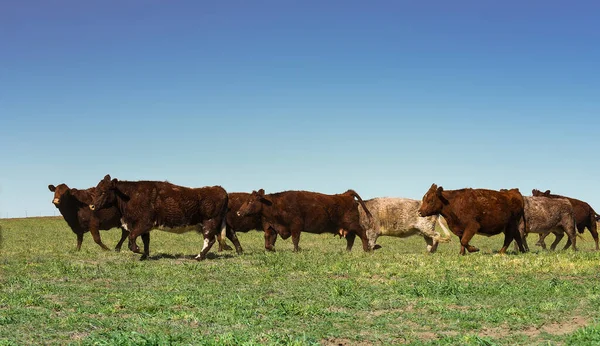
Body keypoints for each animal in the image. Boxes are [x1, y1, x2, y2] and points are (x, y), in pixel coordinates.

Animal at [89, 174, 241, 260]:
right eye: (96, 190)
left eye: (103, 191)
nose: (92, 206)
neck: (130, 196)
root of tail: (219, 188)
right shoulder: (144, 228)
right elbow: (146, 241)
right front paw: (144, 255)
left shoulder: (143, 223)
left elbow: (132, 239)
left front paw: (137, 250)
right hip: (220, 223)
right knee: (232, 235)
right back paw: (240, 252)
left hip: (210, 223)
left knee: (209, 240)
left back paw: (198, 257)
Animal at [237, 189, 372, 251]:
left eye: (250, 201)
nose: (238, 212)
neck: (275, 205)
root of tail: (346, 194)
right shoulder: (273, 227)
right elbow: (268, 240)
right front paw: (271, 249)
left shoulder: (295, 226)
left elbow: (295, 239)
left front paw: (296, 251)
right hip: (346, 228)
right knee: (351, 238)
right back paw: (347, 251)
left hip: (353, 224)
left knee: (363, 234)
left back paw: (366, 249)